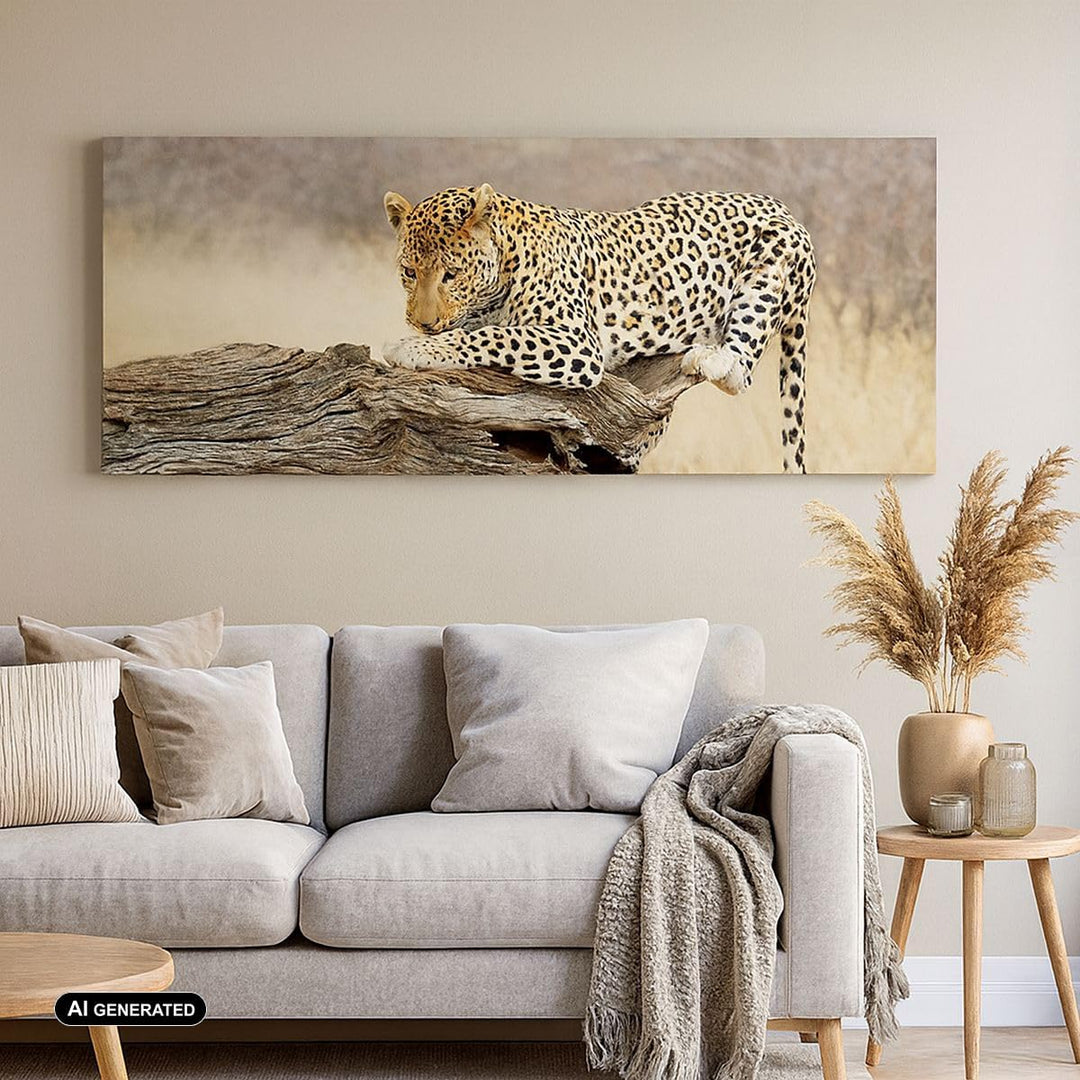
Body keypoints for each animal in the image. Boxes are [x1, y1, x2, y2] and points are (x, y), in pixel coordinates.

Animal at [382, 184, 816, 472]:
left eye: (451, 274)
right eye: (409, 272)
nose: (422, 322)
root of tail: (786, 209)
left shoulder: (578, 343)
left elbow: (495, 336)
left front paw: (414, 349)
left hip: (770, 264)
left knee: (739, 370)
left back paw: (712, 359)